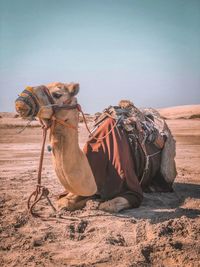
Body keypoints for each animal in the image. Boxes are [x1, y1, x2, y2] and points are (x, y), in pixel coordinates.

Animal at [14, 82, 176, 213]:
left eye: (57, 94)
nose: (21, 101)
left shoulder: (132, 191)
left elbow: (107, 205)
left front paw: (98, 202)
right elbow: (64, 202)